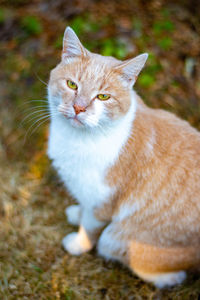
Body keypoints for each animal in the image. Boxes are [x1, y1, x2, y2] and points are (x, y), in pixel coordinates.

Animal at [47, 27, 200, 288]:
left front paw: (78, 243)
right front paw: (77, 213)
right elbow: (84, 209)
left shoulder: (102, 203)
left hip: (116, 239)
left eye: (103, 97)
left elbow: (89, 228)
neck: (78, 139)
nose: (79, 108)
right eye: (71, 84)